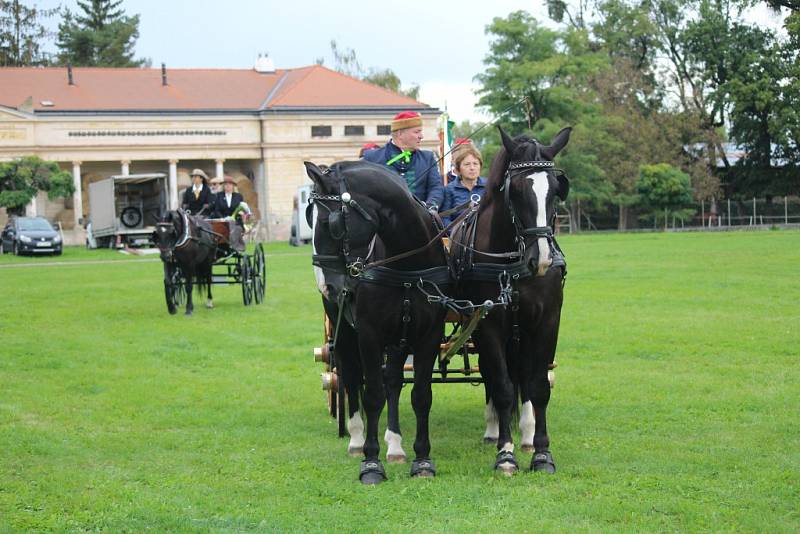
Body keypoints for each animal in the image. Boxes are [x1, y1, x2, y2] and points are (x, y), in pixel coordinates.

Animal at [306, 159, 450, 486]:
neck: (408, 263)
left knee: (392, 381)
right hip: (346, 333)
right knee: (350, 377)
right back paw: (356, 440)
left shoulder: (428, 335)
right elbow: (371, 395)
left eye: (329, 224)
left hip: (398, 339)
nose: (327, 286)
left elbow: (420, 395)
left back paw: (395, 444)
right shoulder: (369, 335)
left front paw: (422, 460)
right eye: (310, 220)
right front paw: (371, 463)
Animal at [454, 126, 572, 478]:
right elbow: (504, 387)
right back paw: (495, 429)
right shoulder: (489, 323)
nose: (542, 259)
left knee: (523, 373)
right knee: (495, 376)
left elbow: (539, 386)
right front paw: (505, 453)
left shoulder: (547, 321)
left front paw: (542, 453)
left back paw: (528, 433)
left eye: (556, 190)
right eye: (516, 190)